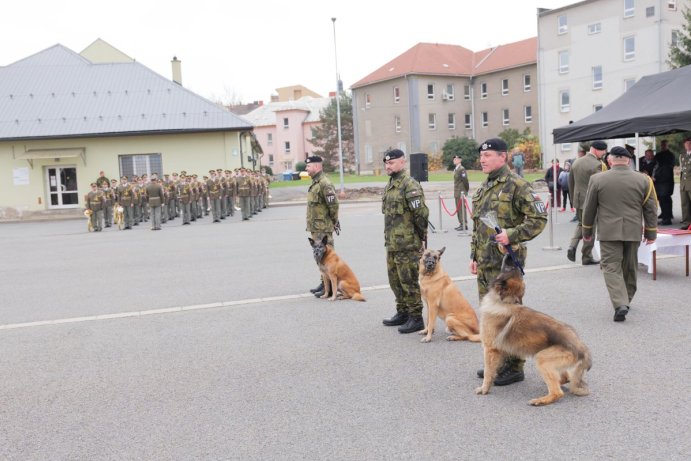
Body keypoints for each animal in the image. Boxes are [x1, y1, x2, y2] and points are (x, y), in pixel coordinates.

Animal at [476, 253, 596, 404]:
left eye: (509, 268)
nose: (509, 254)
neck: (505, 302)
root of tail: (583, 349)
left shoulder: (490, 349)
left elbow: (488, 372)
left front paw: (484, 389)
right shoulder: (499, 350)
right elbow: (494, 369)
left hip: (542, 358)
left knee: (558, 392)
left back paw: (541, 400)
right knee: (565, 378)